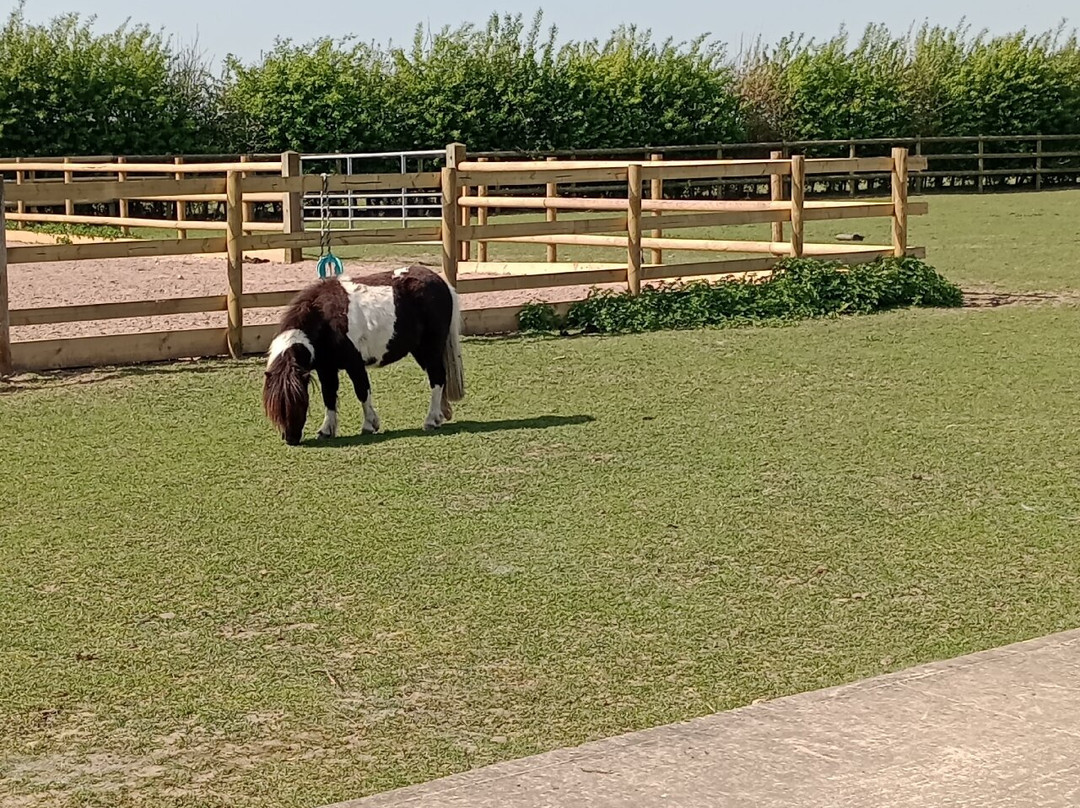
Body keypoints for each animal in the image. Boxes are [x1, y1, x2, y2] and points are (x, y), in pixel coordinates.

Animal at [262, 265, 465, 445]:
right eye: (276, 407)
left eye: (300, 401)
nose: (291, 439)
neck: (323, 318)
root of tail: (442, 282)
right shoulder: (326, 369)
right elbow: (329, 396)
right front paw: (326, 430)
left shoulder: (354, 364)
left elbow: (362, 391)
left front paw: (369, 424)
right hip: (420, 351)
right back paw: (440, 416)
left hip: (430, 348)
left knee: (437, 378)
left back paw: (431, 420)